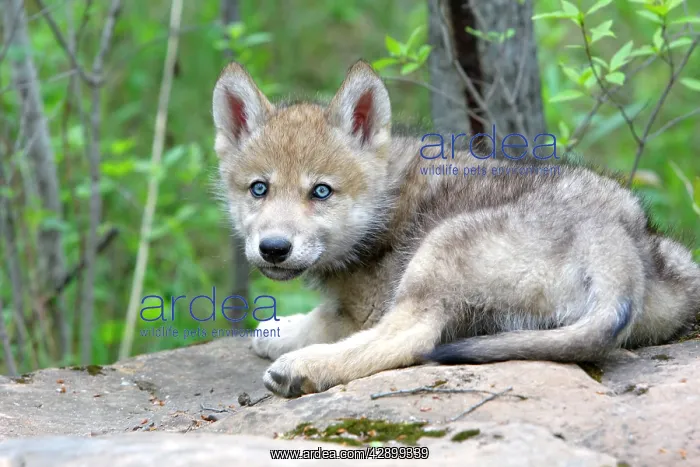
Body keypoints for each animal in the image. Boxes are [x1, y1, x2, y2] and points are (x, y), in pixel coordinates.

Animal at [212, 60, 700, 398]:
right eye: (259, 189)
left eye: (321, 192)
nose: (274, 248)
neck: (387, 197)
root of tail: (616, 237)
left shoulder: (364, 310)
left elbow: (321, 321)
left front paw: (279, 334)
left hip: (440, 247)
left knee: (408, 340)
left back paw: (301, 369)